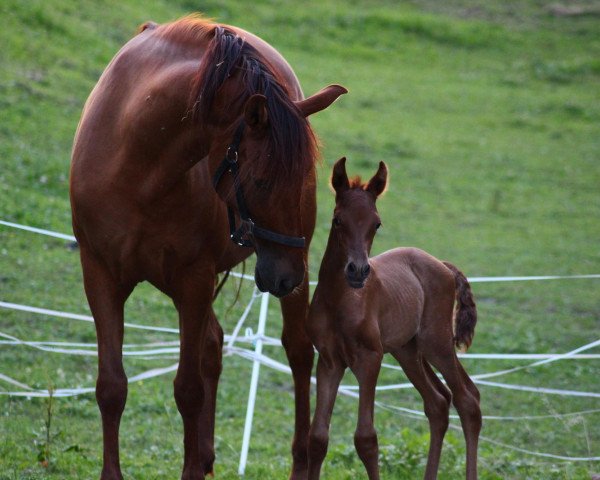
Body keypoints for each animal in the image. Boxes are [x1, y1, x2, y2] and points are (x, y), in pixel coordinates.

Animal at [308, 158, 480, 480]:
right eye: (337, 220)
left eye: (376, 223)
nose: (358, 271)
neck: (340, 300)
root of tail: (442, 266)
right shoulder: (328, 361)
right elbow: (317, 437)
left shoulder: (370, 359)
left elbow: (366, 439)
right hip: (408, 351)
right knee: (438, 402)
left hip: (437, 344)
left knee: (468, 399)